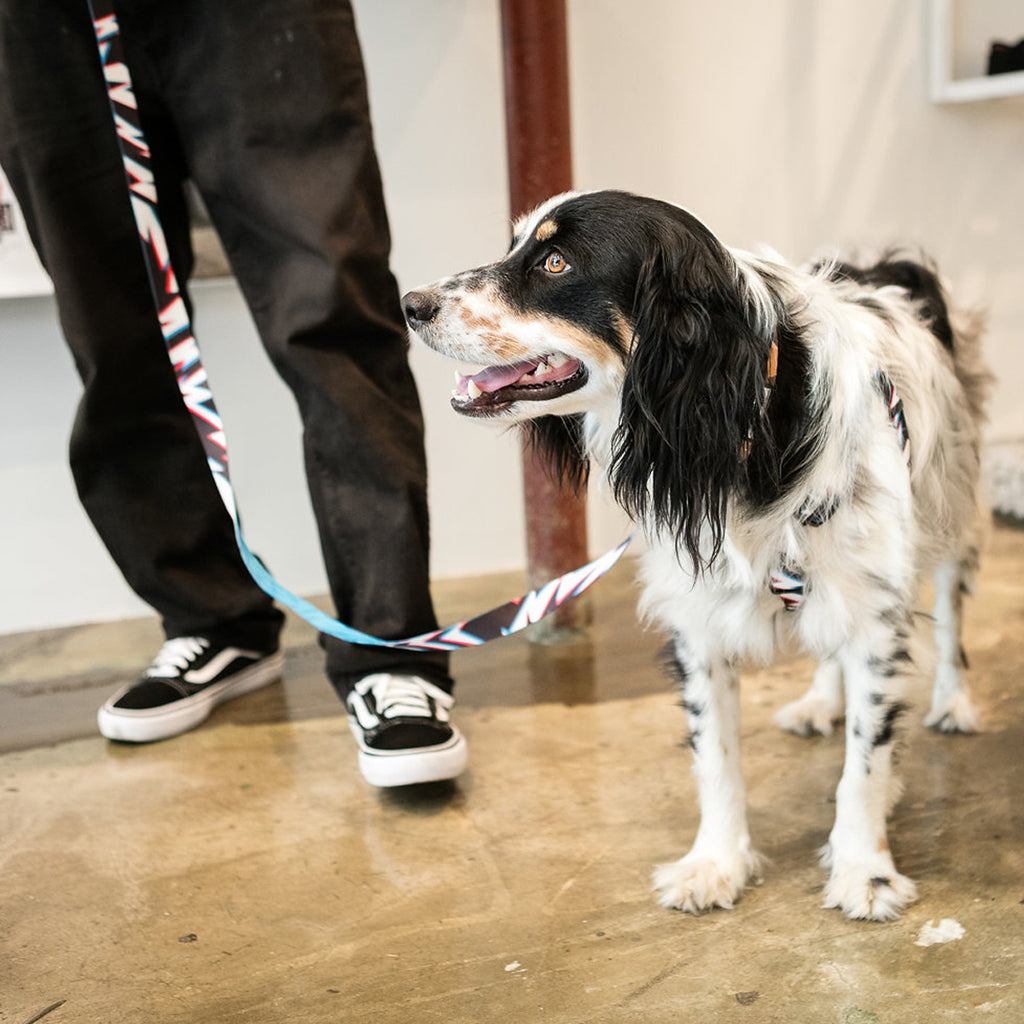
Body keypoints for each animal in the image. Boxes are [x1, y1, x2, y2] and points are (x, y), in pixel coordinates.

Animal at [401, 190, 991, 921]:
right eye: (514, 246)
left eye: (555, 261)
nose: (409, 303)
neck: (747, 421)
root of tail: (882, 267)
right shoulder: (699, 623)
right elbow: (716, 759)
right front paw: (716, 863)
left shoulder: (875, 618)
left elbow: (865, 764)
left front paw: (864, 872)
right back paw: (821, 701)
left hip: (950, 510)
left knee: (951, 609)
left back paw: (954, 702)